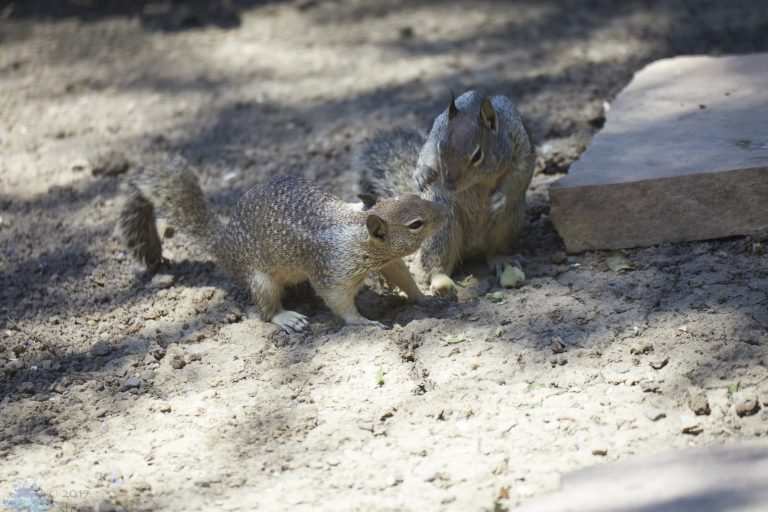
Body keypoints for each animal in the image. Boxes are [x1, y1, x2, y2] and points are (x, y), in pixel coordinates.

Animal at [119, 156, 448, 333]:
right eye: (416, 224)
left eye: (413, 197)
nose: (444, 212)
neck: (355, 232)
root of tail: (225, 245)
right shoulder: (332, 272)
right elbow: (339, 303)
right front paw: (363, 322)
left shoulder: (389, 262)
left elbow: (404, 278)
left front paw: (424, 297)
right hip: (262, 279)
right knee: (265, 311)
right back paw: (288, 318)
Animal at [355, 90, 535, 299]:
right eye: (441, 147)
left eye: (477, 155)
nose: (448, 184)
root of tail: (472, 250)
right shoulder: (436, 132)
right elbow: (427, 151)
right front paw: (421, 173)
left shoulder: (520, 145)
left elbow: (519, 173)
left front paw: (498, 198)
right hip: (442, 228)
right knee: (436, 263)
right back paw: (441, 282)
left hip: (509, 224)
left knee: (494, 250)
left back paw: (502, 259)